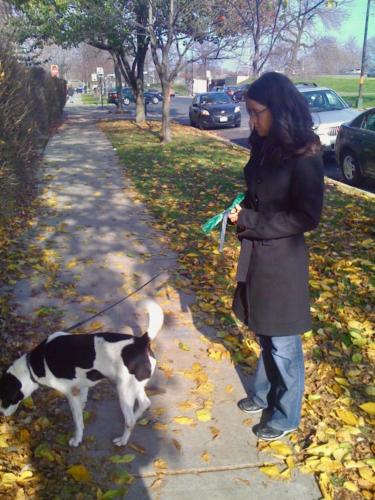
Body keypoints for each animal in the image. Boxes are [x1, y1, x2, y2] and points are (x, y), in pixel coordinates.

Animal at [0, 298, 164, 448]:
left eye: (5, 397)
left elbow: (77, 420)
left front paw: (76, 439)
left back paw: (123, 440)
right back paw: (135, 418)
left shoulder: (71, 393)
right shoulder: (82, 387)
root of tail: (142, 341)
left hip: (124, 390)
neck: (32, 366)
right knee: (144, 404)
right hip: (135, 386)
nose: (1, 415)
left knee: (130, 420)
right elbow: (81, 410)